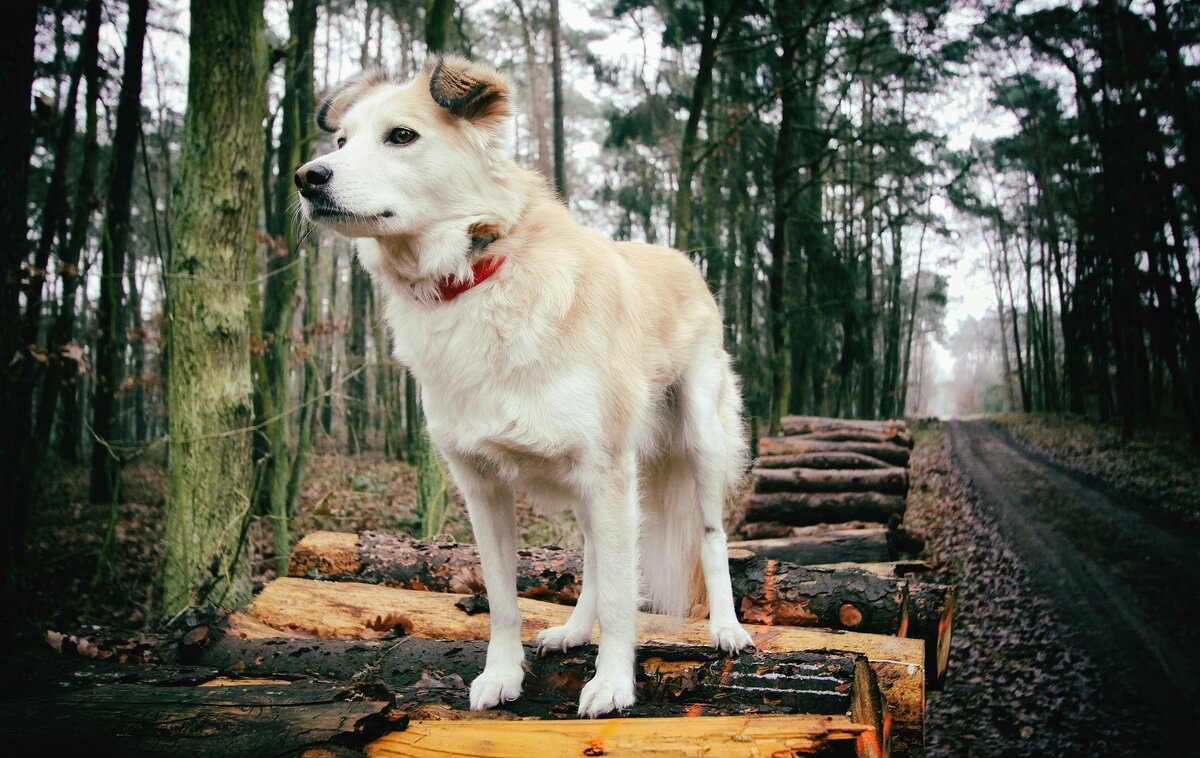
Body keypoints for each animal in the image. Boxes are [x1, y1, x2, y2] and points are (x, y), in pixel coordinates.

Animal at [296, 53, 753, 714]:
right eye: (340, 142)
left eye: (401, 136)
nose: (307, 178)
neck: (475, 277)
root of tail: (682, 260)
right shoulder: (481, 484)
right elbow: (504, 599)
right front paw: (502, 675)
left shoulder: (606, 470)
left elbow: (624, 597)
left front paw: (613, 683)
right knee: (595, 557)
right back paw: (574, 630)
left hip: (700, 445)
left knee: (712, 539)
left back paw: (726, 628)